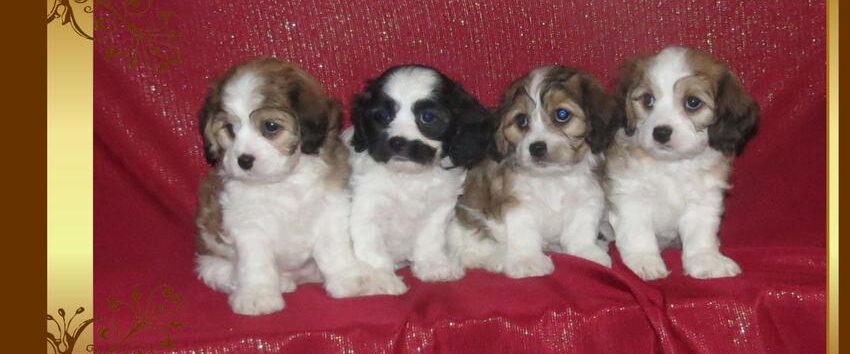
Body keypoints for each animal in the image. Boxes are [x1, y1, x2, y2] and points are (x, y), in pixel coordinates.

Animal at [194, 58, 376, 316]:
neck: (284, 181)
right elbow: (255, 262)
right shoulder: (247, 223)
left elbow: (334, 249)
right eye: (230, 129)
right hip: (211, 249)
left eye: (270, 127)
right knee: (218, 270)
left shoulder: (330, 208)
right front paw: (257, 296)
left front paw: (348, 280)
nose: (243, 161)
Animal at [344, 64, 490, 290]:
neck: (408, 176)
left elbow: (430, 240)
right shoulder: (367, 208)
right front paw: (380, 278)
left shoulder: (439, 209)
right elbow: (372, 247)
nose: (398, 142)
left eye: (427, 117)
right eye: (382, 115)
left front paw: (433, 266)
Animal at [448, 65, 620, 278]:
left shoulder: (587, 198)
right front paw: (528, 261)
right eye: (521, 120)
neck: (552, 178)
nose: (536, 147)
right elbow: (525, 233)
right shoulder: (517, 202)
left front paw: (586, 253)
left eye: (562, 114)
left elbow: (580, 230)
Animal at [608, 46, 760, 280]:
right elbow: (638, 232)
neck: (672, 166)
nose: (661, 132)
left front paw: (706, 260)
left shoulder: (703, 200)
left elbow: (700, 235)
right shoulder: (630, 195)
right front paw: (645, 261)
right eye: (648, 99)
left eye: (693, 102)